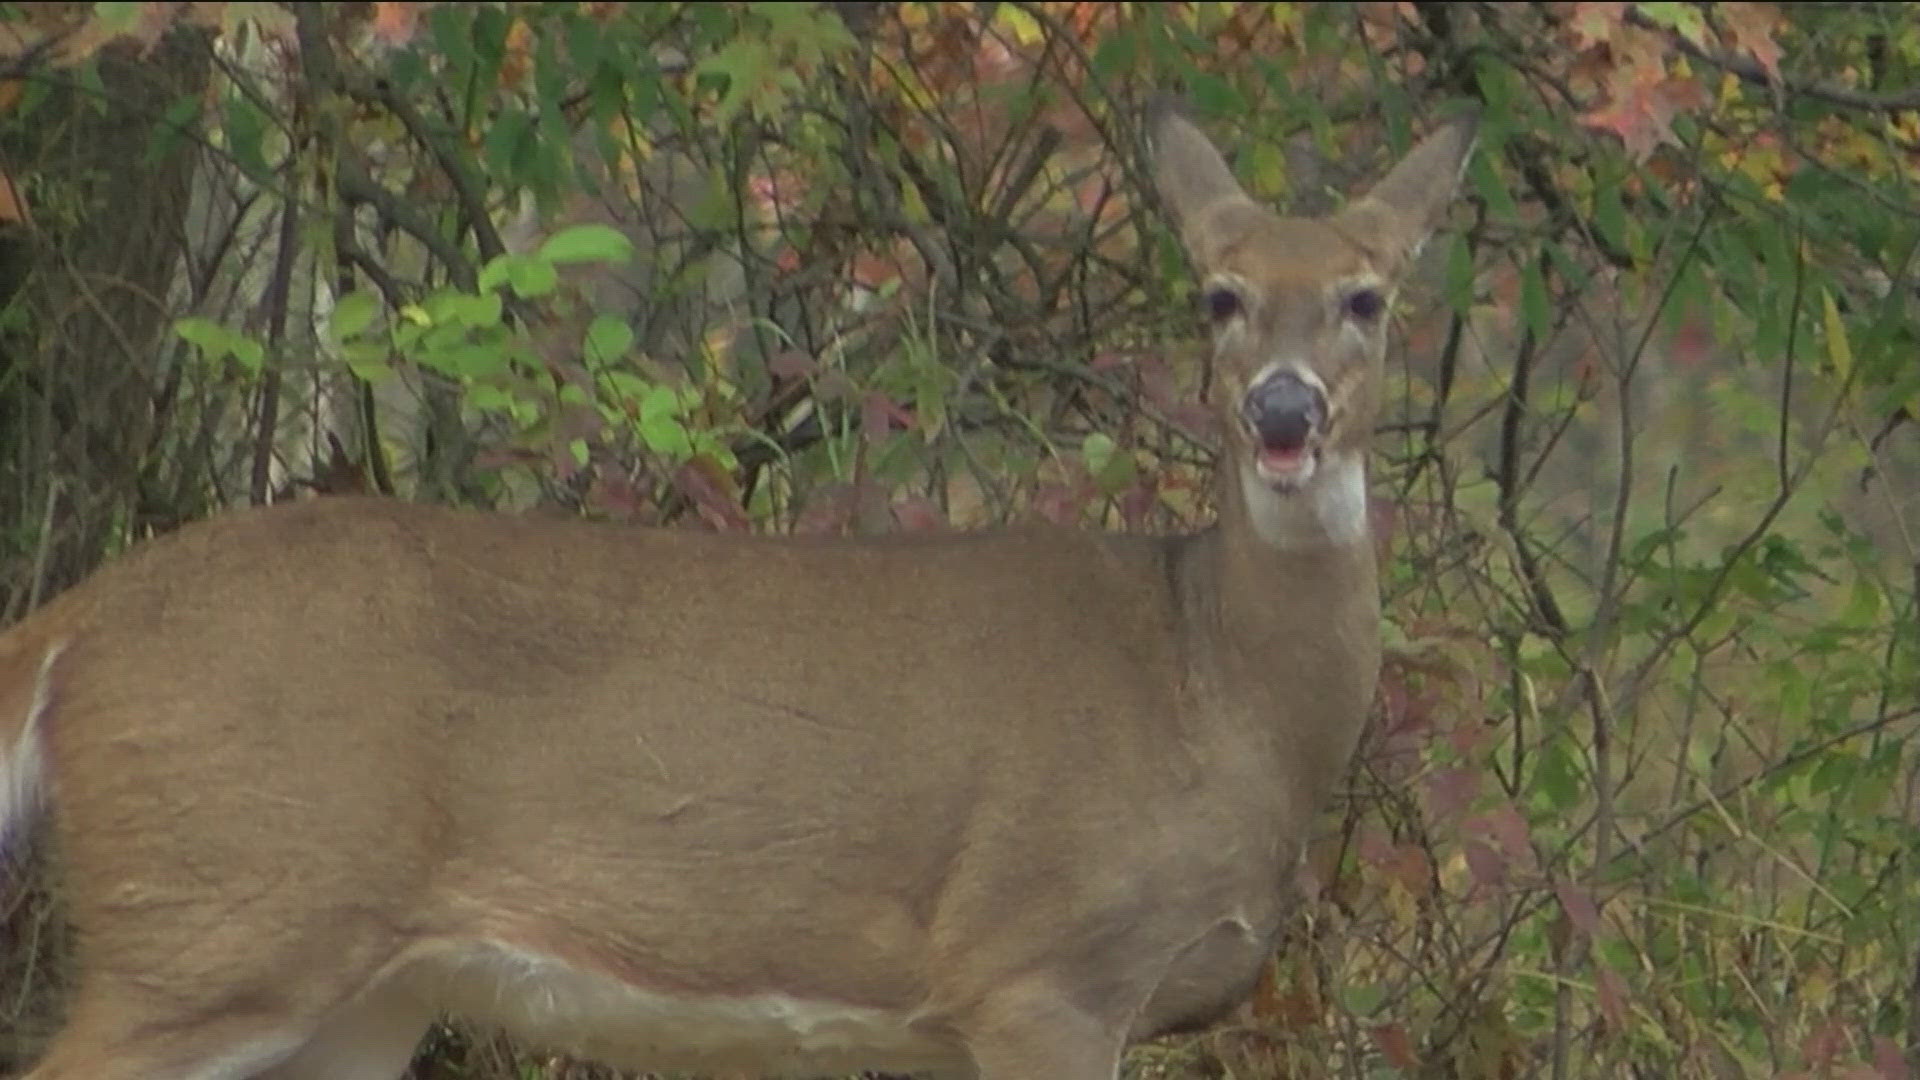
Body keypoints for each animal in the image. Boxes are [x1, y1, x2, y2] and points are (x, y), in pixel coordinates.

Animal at [0, 102, 1474, 1076]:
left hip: (349, 990)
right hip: (219, 912)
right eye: (1220, 295)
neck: (1210, 681)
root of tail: (80, 624)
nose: (1284, 412)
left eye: (1366, 298)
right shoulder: (1038, 965)